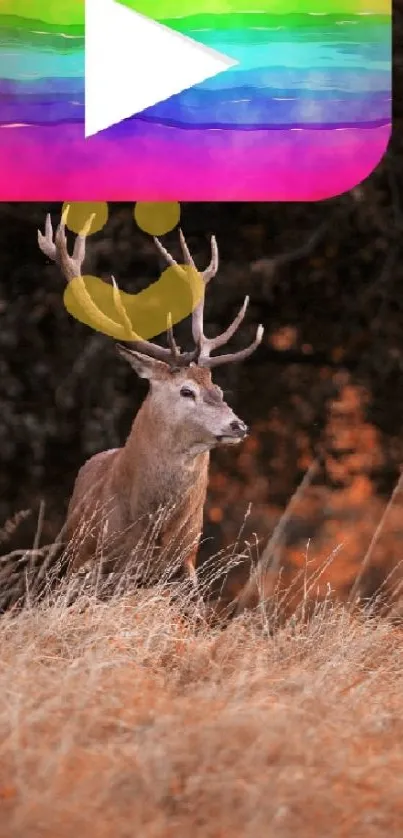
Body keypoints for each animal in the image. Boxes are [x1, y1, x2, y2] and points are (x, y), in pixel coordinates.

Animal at [38, 210, 266, 600]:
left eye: (218, 388)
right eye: (186, 391)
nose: (238, 425)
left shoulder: (184, 563)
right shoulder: (97, 562)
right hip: (70, 554)